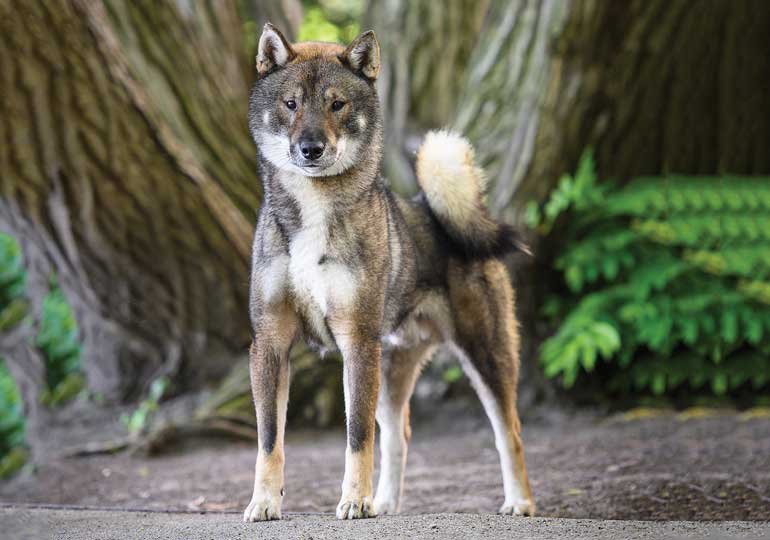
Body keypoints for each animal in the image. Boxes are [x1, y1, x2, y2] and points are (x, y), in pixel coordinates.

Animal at [244, 23, 536, 520]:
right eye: (291, 104)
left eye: (337, 104)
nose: (310, 148)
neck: (314, 209)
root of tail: (438, 211)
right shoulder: (271, 343)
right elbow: (269, 441)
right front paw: (264, 502)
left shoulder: (356, 342)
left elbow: (356, 437)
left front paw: (353, 501)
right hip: (390, 369)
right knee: (398, 438)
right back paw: (385, 503)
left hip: (483, 355)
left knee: (509, 432)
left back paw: (519, 501)